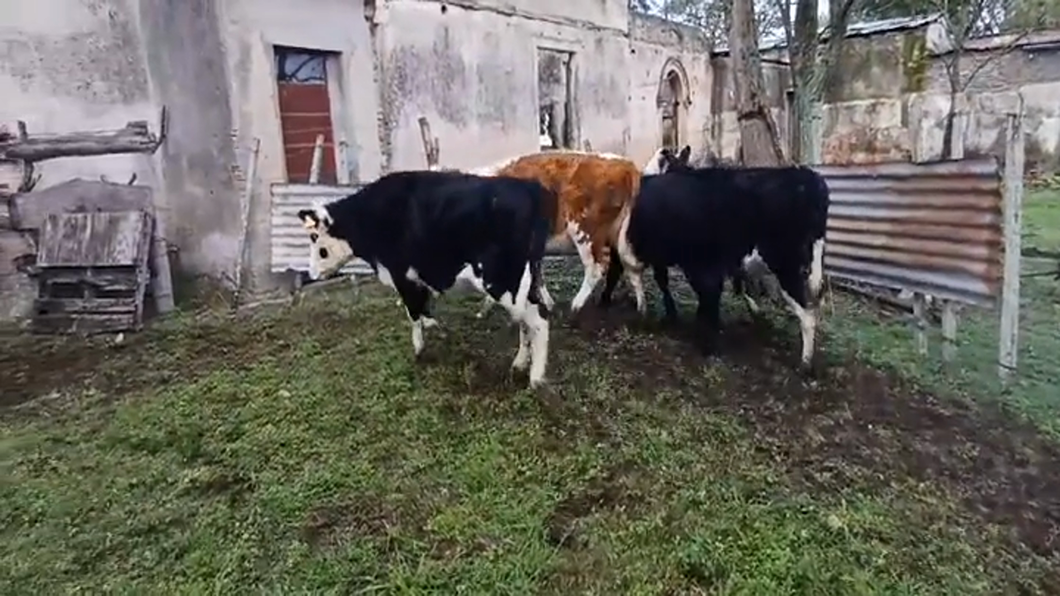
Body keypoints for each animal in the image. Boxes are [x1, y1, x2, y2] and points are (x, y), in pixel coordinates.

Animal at [298, 169, 559, 388]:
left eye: (315, 239)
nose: (311, 274)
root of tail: (530, 188)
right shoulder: (418, 280)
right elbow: (425, 309)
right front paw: (435, 328)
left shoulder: (403, 277)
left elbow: (413, 314)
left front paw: (419, 350)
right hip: (526, 281)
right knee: (529, 318)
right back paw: (520, 363)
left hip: (503, 280)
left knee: (538, 319)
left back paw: (536, 378)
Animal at [464, 149, 644, 316]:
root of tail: (625, 164)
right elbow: (535, 274)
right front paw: (547, 304)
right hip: (617, 234)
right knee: (628, 266)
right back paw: (641, 309)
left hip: (585, 231)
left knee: (596, 267)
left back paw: (576, 306)